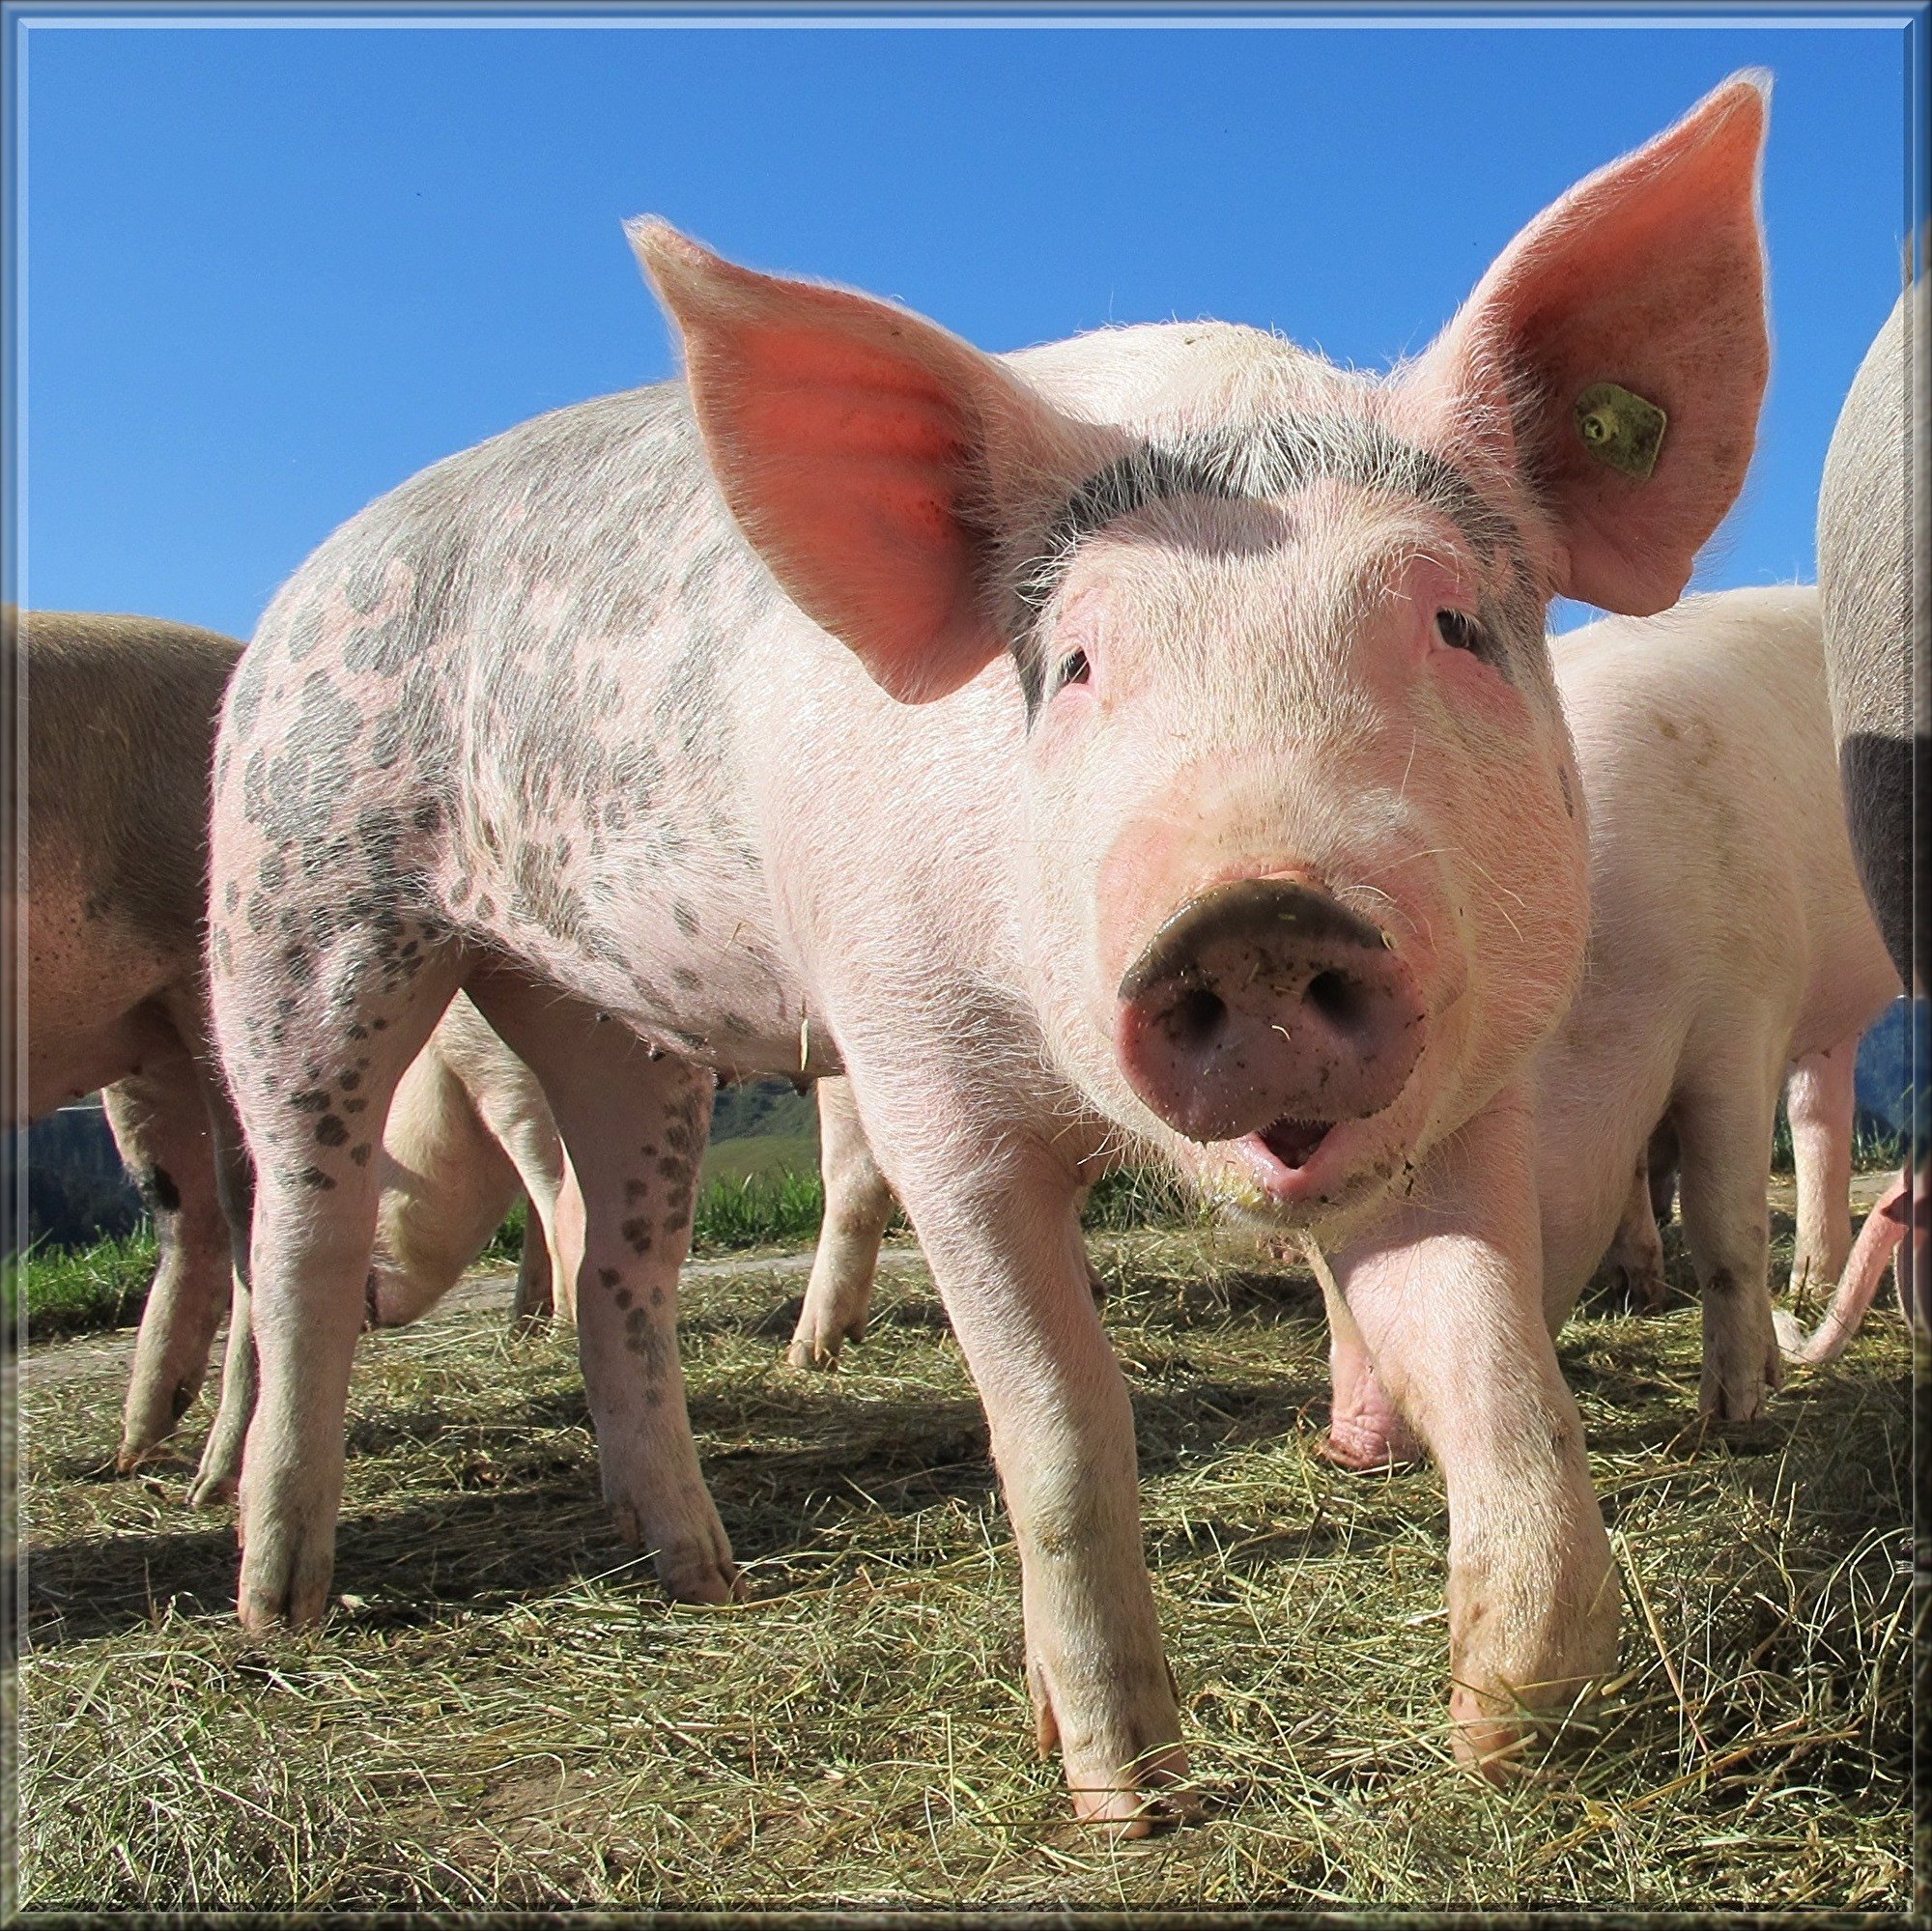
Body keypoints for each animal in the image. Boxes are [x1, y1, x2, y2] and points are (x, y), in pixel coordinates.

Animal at [206, 78, 1771, 1828]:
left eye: (1450, 621)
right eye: (1075, 660)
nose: (1260, 911)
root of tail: (304, 582)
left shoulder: (1469, 1087)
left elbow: (1500, 1370)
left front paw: (1512, 1732)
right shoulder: (916, 1076)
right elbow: (1063, 1425)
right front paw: (1131, 1794)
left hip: (610, 1018)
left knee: (620, 1264)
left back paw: (701, 1573)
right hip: (297, 891)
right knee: (305, 1234)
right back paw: (280, 1606)